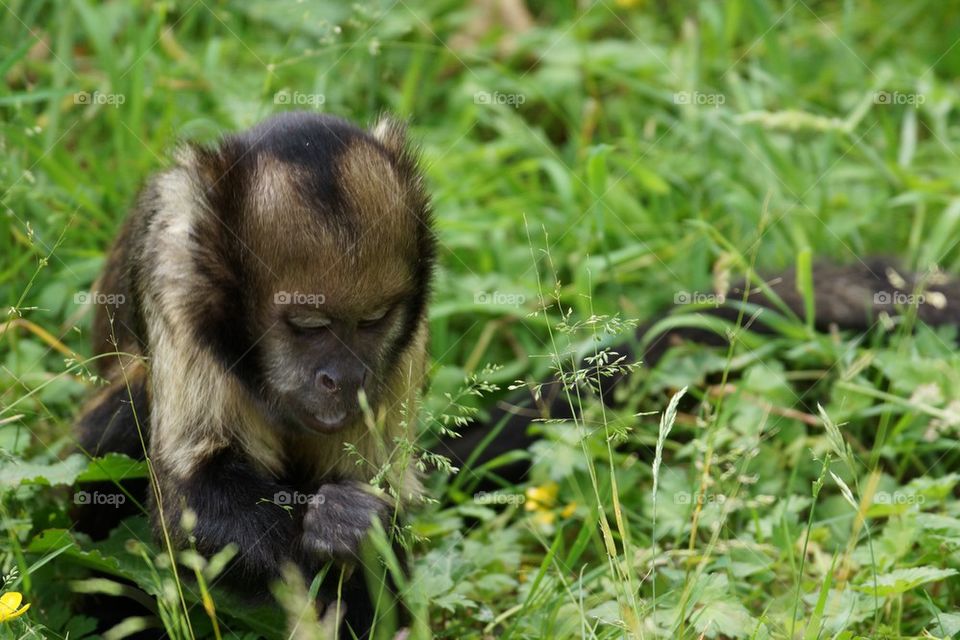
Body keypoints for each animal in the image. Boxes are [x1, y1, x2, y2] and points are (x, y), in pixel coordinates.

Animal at [75, 110, 436, 636]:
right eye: (308, 326)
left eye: (373, 322)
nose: (345, 377)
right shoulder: (177, 270)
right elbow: (190, 501)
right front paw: (327, 535)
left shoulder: (411, 330)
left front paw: (363, 532)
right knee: (121, 417)